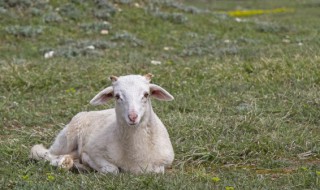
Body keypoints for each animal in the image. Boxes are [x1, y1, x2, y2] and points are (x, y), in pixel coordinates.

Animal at [29, 73, 175, 174]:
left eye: (146, 94)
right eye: (117, 96)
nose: (132, 117)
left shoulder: (164, 162)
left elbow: (157, 171)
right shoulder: (94, 152)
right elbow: (112, 170)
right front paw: (88, 164)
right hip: (67, 138)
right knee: (44, 153)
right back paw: (65, 163)